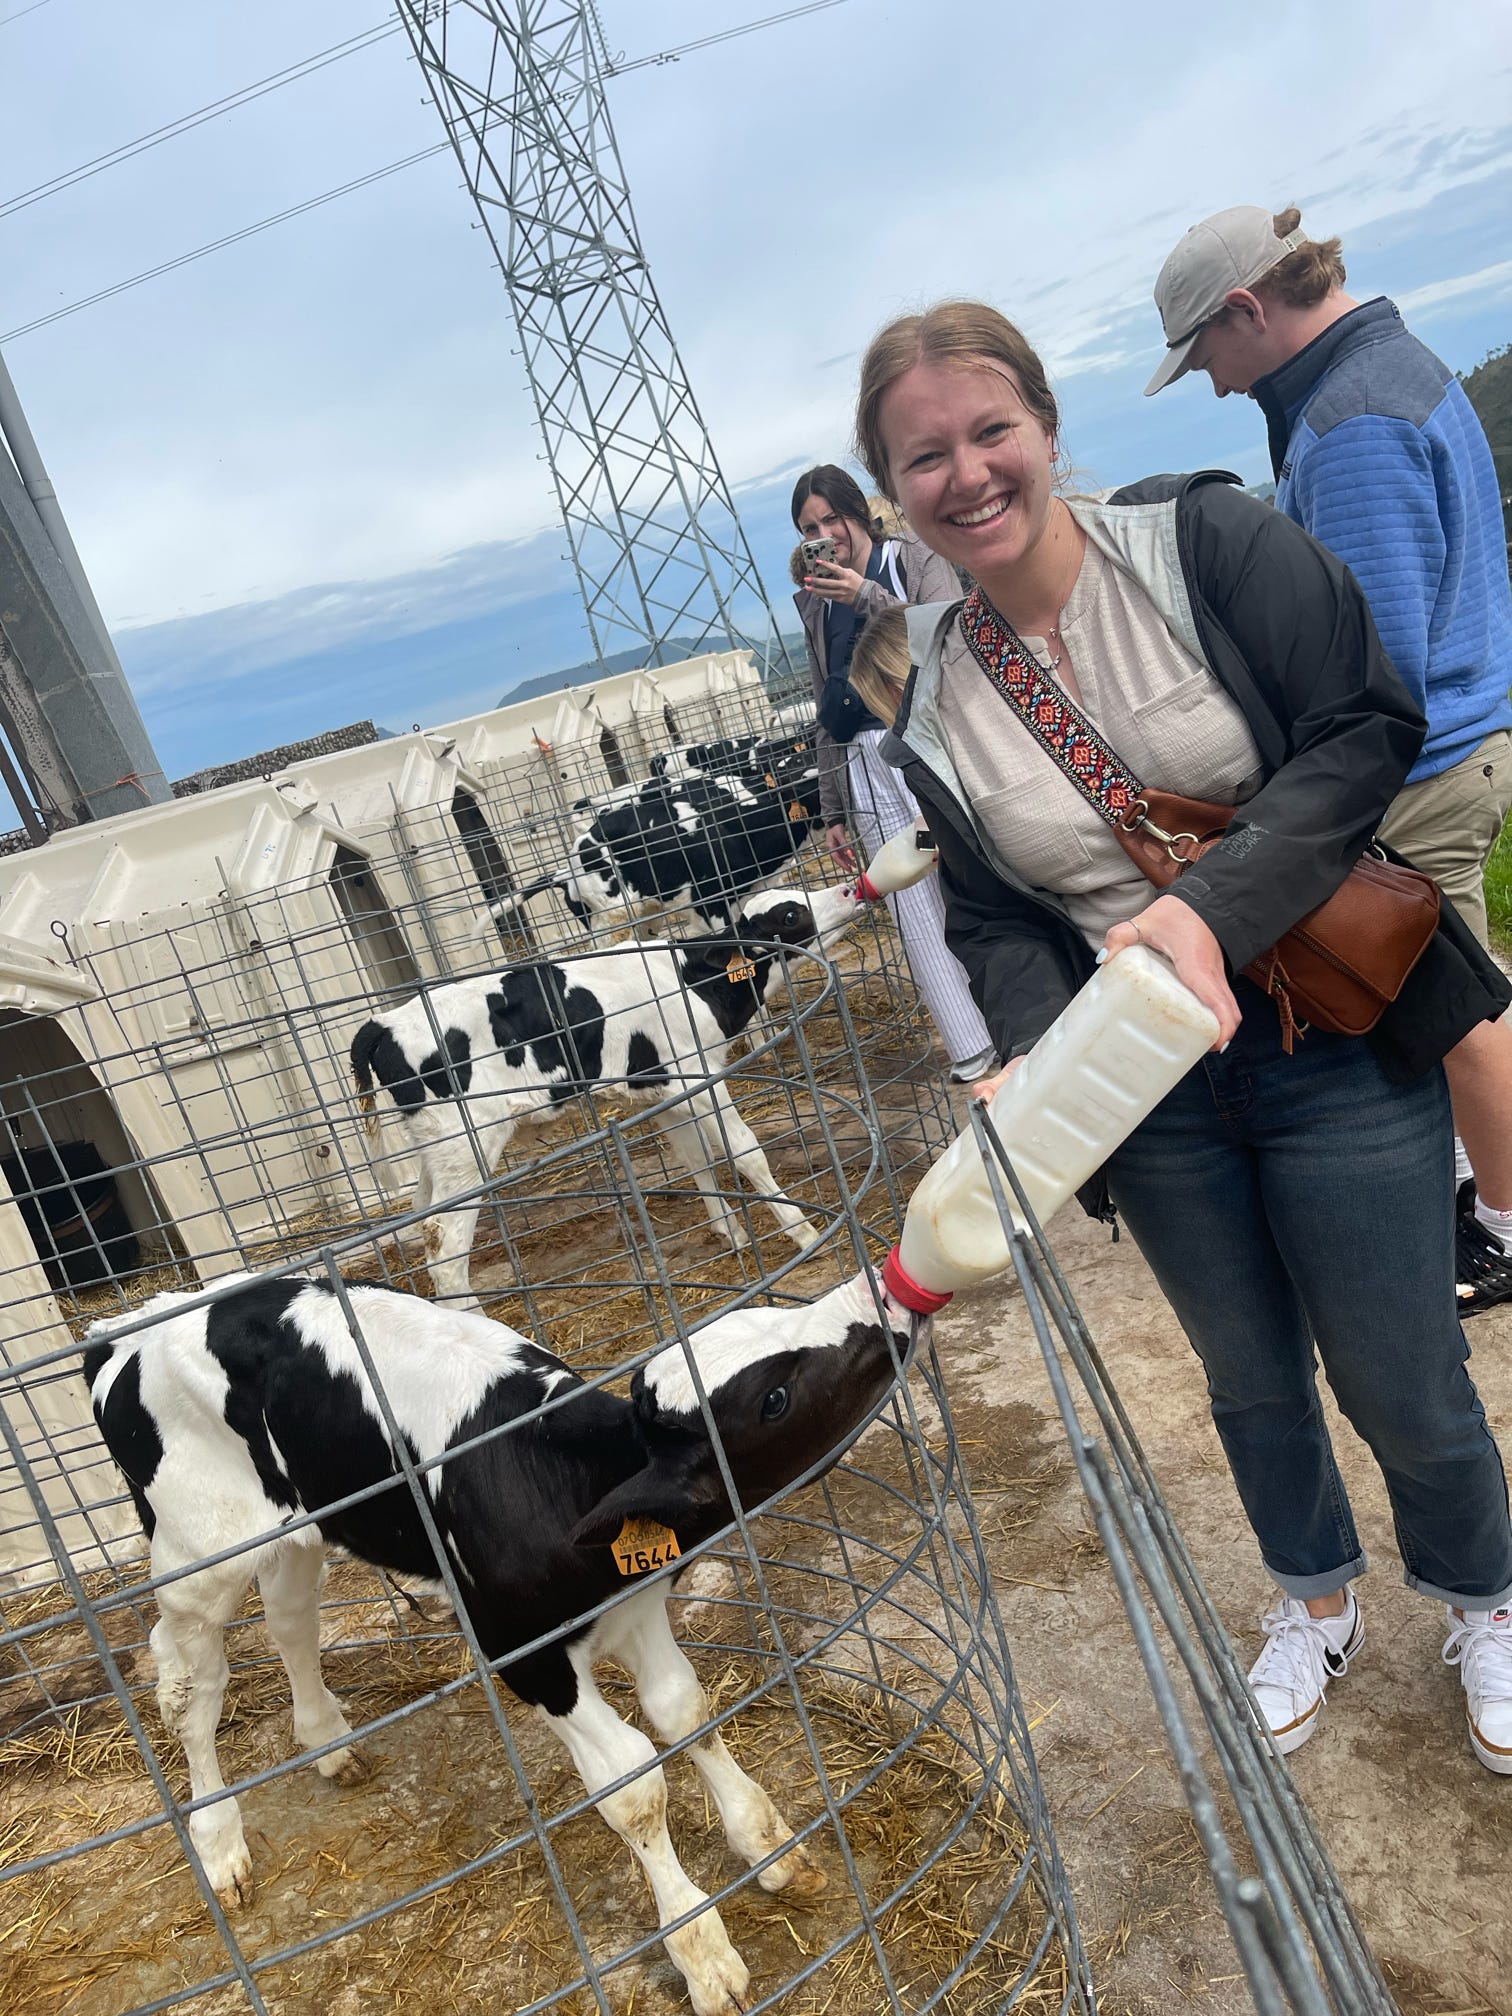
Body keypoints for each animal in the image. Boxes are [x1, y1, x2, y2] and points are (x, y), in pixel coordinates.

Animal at [88, 1274, 919, 2016]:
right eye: (774, 1399)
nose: (881, 1291)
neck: (558, 1475)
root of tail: (126, 1328)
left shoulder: (638, 1608)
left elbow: (685, 1713)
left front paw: (771, 1850)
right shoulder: (527, 1657)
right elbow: (634, 1786)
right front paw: (703, 1954)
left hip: (300, 1527)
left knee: (291, 1621)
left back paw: (328, 1742)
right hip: (198, 1552)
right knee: (189, 1683)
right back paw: (218, 1842)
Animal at [348, 883, 858, 1306]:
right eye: (790, 914)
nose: (851, 888)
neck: (689, 982)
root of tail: (385, 1022)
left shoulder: (666, 1092)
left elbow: (695, 1158)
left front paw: (730, 1232)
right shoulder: (699, 1078)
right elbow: (746, 1152)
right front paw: (805, 1234)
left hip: (436, 1149)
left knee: (421, 1220)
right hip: (469, 1147)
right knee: (445, 1249)